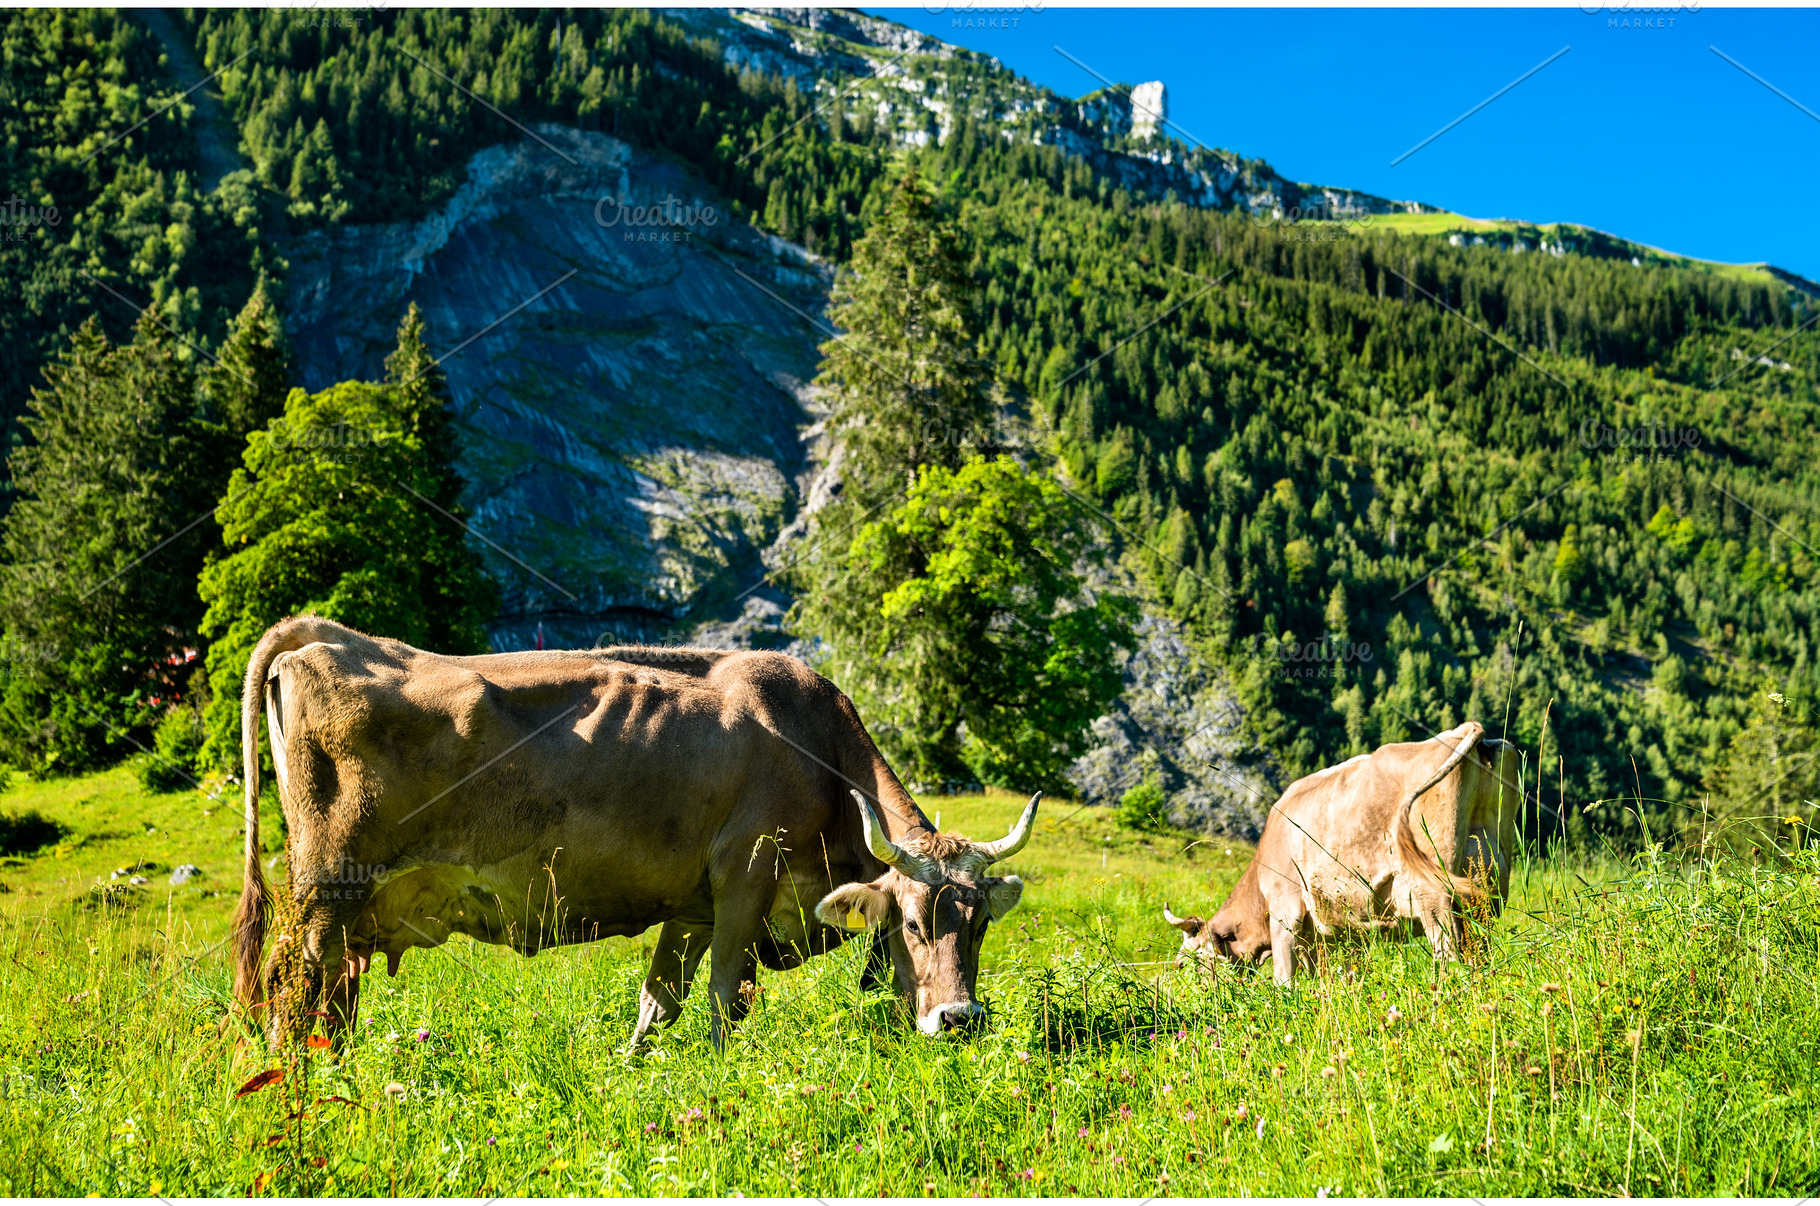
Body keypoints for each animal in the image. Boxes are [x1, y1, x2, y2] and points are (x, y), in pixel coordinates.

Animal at [228, 615, 1041, 1050]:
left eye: (980, 926)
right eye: (913, 921)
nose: (960, 1018)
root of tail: (328, 639)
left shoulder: (690, 906)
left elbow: (659, 1000)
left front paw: (632, 1066)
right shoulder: (745, 878)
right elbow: (724, 996)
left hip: (350, 914)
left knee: (330, 997)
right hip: (327, 892)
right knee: (294, 988)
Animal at [1162, 722, 1519, 984]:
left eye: (1194, 958)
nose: (1186, 986)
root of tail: (1461, 731)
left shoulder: (1285, 910)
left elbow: (1284, 977)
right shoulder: (1331, 934)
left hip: (1434, 892)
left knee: (1449, 953)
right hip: (1488, 884)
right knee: (1478, 947)